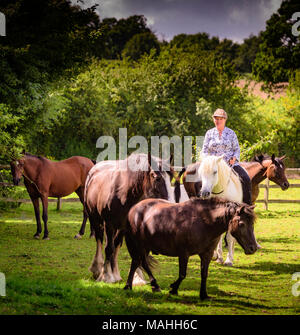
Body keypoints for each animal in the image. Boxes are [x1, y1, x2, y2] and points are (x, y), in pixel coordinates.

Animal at [84, 154, 173, 284]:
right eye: (158, 178)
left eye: (170, 179)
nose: (168, 204)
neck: (123, 194)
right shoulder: (109, 224)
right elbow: (108, 248)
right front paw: (106, 276)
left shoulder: (125, 227)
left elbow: (119, 247)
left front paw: (128, 276)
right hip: (95, 219)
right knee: (99, 240)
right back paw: (97, 269)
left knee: (115, 244)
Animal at [125, 198, 256, 300]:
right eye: (241, 224)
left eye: (252, 224)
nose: (253, 248)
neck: (204, 222)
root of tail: (134, 209)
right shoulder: (184, 254)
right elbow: (182, 274)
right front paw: (174, 289)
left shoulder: (207, 254)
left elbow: (204, 274)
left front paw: (203, 295)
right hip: (140, 245)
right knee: (140, 262)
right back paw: (148, 285)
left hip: (145, 247)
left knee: (138, 262)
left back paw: (133, 286)